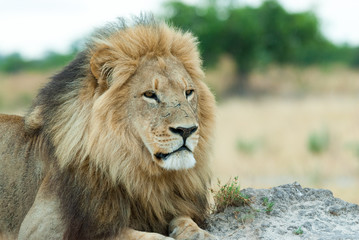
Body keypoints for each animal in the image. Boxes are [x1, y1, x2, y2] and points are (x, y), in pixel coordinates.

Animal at [0, 15, 217, 239]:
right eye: (150, 94)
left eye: (188, 92)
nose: (187, 130)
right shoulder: (41, 228)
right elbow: (133, 234)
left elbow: (184, 218)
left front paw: (198, 233)